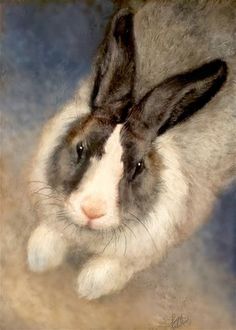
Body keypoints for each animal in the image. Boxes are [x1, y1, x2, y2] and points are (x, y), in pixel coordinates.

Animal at [27, 1, 236, 300]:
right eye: (80, 147)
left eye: (137, 167)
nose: (92, 211)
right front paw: (39, 257)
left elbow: (114, 267)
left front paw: (88, 286)